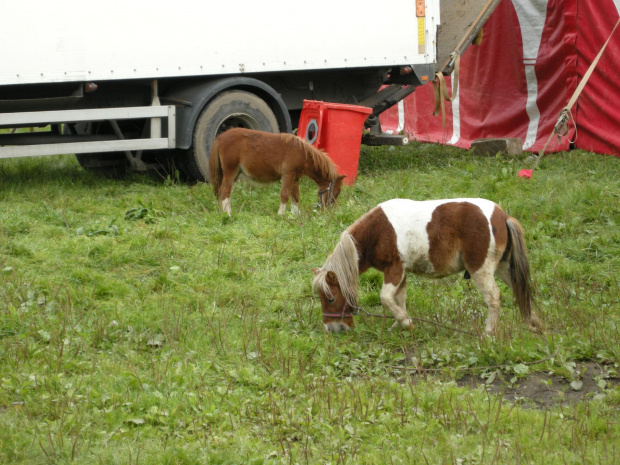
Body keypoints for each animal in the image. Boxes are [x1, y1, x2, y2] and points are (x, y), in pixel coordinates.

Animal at [207, 127, 344, 214]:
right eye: (337, 191)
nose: (331, 209)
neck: (302, 152)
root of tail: (219, 138)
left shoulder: (295, 178)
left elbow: (295, 196)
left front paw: (295, 215)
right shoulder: (288, 174)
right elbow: (284, 195)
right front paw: (281, 214)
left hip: (235, 174)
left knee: (226, 192)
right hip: (230, 171)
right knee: (225, 191)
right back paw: (228, 214)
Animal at [312, 198, 544, 336]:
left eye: (330, 298)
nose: (332, 328)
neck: (376, 231)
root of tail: (502, 216)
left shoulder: (394, 270)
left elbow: (386, 298)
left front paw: (406, 323)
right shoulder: (401, 273)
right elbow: (399, 299)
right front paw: (400, 325)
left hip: (481, 270)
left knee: (494, 298)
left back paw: (488, 334)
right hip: (504, 267)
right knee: (520, 289)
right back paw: (534, 324)